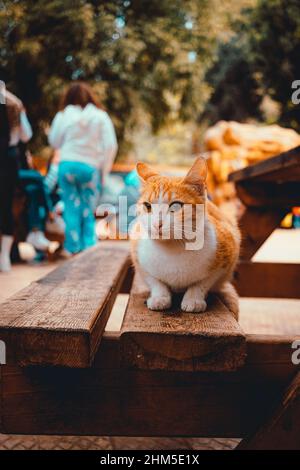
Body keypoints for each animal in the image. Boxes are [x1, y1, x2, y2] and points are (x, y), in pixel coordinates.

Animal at [131, 158, 241, 320]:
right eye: (147, 206)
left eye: (175, 206)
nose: (157, 224)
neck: (172, 249)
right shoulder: (138, 258)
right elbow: (155, 281)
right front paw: (160, 297)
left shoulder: (227, 256)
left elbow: (203, 283)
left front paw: (193, 299)